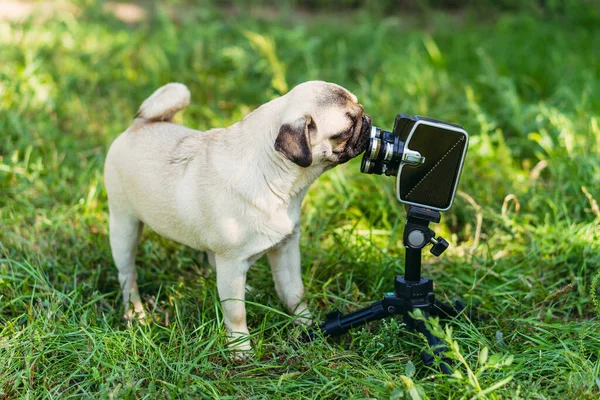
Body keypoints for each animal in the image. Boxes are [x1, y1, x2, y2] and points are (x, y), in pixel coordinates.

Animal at [103, 80, 370, 350]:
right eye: (347, 129)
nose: (367, 120)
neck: (274, 176)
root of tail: (139, 125)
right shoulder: (231, 262)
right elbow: (236, 312)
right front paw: (240, 348)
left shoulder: (285, 248)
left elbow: (294, 291)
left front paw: (306, 324)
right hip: (124, 226)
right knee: (128, 276)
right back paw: (136, 314)